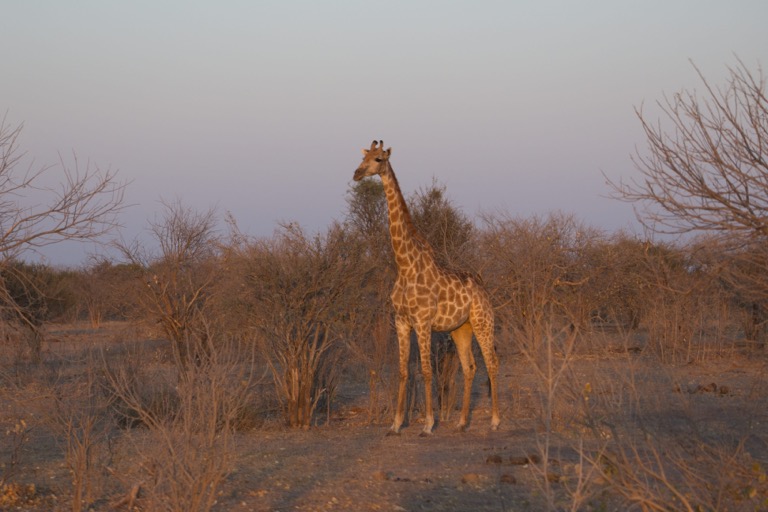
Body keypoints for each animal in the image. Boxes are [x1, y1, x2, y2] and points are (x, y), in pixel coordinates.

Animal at [353, 140, 500, 435]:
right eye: (362, 157)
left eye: (378, 159)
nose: (356, 174)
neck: (405, 264)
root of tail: (483, 288)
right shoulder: (400, 321)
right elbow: (403, 371)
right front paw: (395, 424)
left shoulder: (422, 322)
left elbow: (426, 370)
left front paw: (428, 424)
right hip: (461, 328)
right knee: (469, 367)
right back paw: (462, 422)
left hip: (483, 321)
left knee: (492, 363)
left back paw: (495, 421)